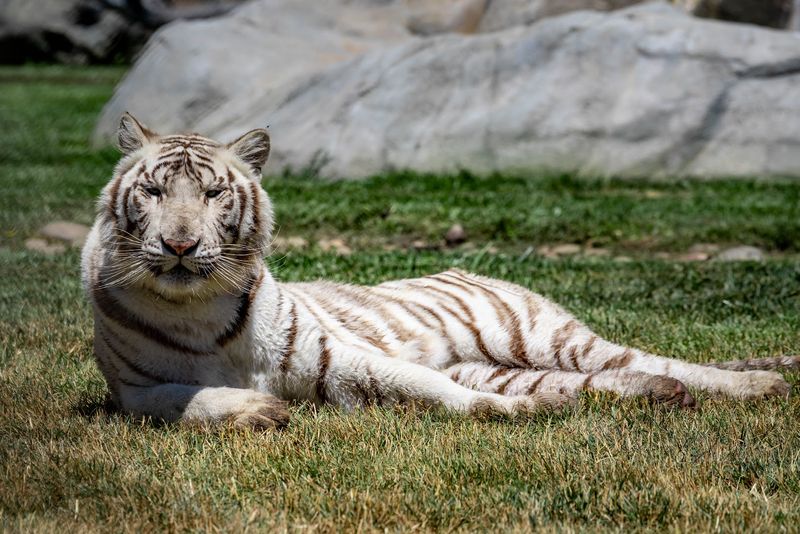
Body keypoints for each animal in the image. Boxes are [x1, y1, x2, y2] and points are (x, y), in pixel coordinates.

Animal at [81, 113, 798, 430]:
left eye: (211, 194)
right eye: (154, 192)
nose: (178, 244)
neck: (196, 305)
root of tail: (469, 268)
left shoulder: (337, 356)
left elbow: (428, 387)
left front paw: (504, 415)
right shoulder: (132, 390)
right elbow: (184, 402)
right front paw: (255, 409)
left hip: (541, 336)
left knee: (652, 361)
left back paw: (753, 387)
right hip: (505, 360)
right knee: (605, 381)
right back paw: (637, 397)